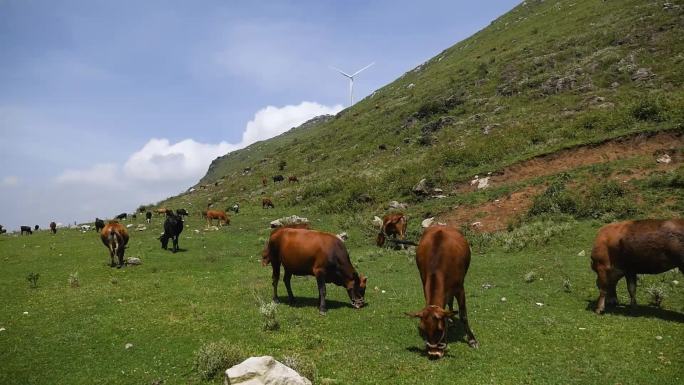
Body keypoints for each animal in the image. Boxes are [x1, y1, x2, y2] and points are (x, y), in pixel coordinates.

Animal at [406, 224, 476, 358]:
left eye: (439, 329)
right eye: (423, 330)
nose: (434, 353)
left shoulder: (460, 288)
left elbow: (463, 314)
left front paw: (472, 340)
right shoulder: (425, 283)